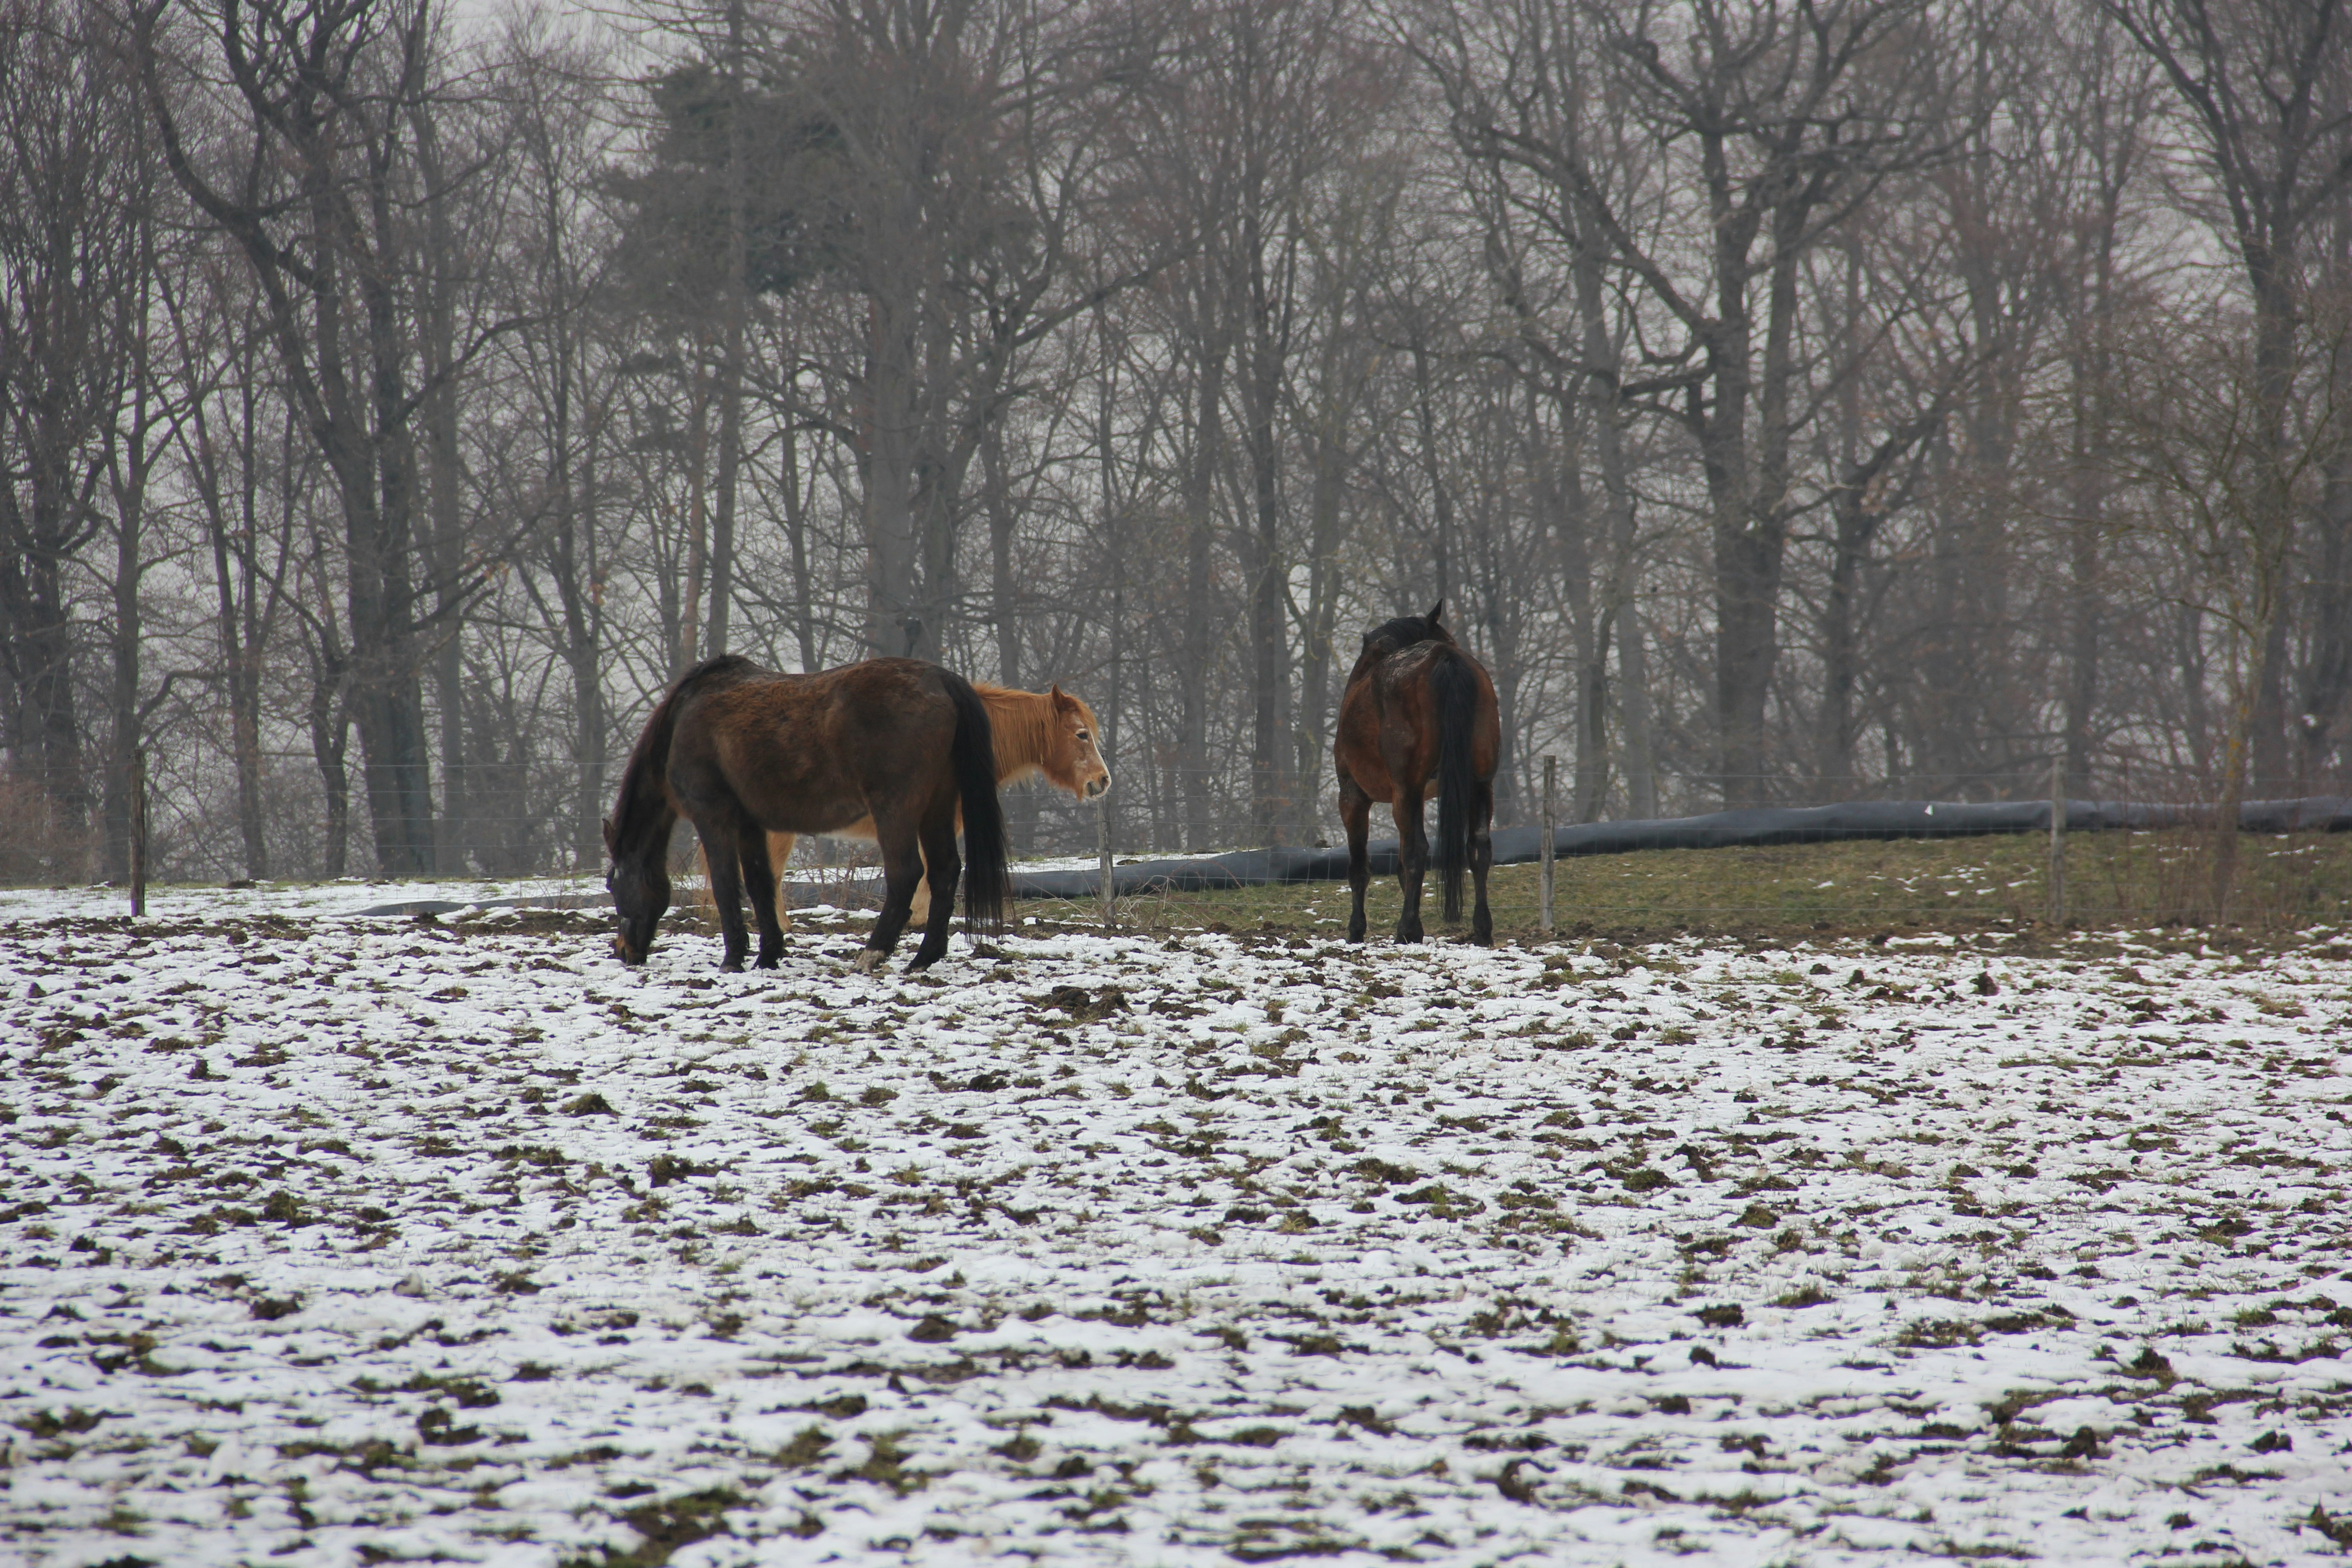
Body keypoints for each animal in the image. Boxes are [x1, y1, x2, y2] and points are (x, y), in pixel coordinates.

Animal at [602, 654, 1010, 974]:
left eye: (613, 885)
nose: (624, 952)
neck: (683, 720)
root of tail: (941, 679)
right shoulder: (751, 825)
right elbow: (760, 884)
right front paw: (768, 955)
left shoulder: (713, 817)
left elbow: (724, 883)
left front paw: (733, 959)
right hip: (936, 808)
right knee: (944, 872)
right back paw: (924, 958)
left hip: (897, 810)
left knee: (906, 873)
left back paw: (872, 954)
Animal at [1332, 601, 1501, 945]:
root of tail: (1444, 658)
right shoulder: (1419, 797)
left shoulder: (1353, 795)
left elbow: (1360, 867)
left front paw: (1356, 929)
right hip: (1480, 785)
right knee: (1479, 847)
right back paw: (1482, 929)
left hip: (1404, 790)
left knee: (1417, 851)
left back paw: (1407, 929)